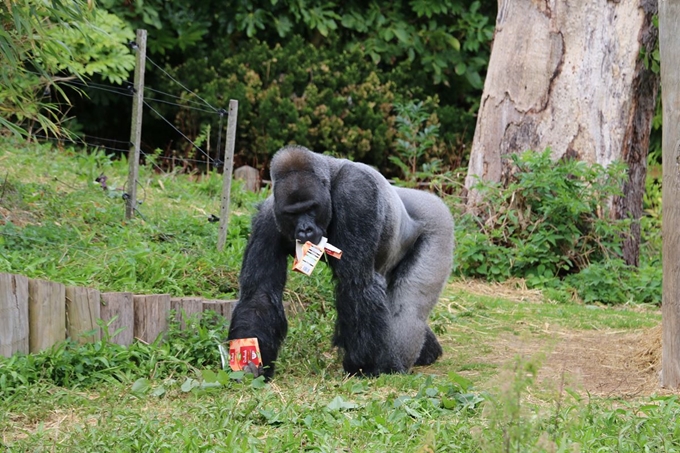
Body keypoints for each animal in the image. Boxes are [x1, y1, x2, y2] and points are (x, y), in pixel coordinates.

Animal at [226, 145, 454, 378]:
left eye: (311, 208)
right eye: (293, 213)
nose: (305, 229)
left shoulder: (356, 194)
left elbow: (356, 282)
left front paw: (364, 364)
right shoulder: (268, 219)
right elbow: (260, 294)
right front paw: (250, 361)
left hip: (438, 222)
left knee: (408, 309)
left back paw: (395, 364)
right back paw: (429, 350)